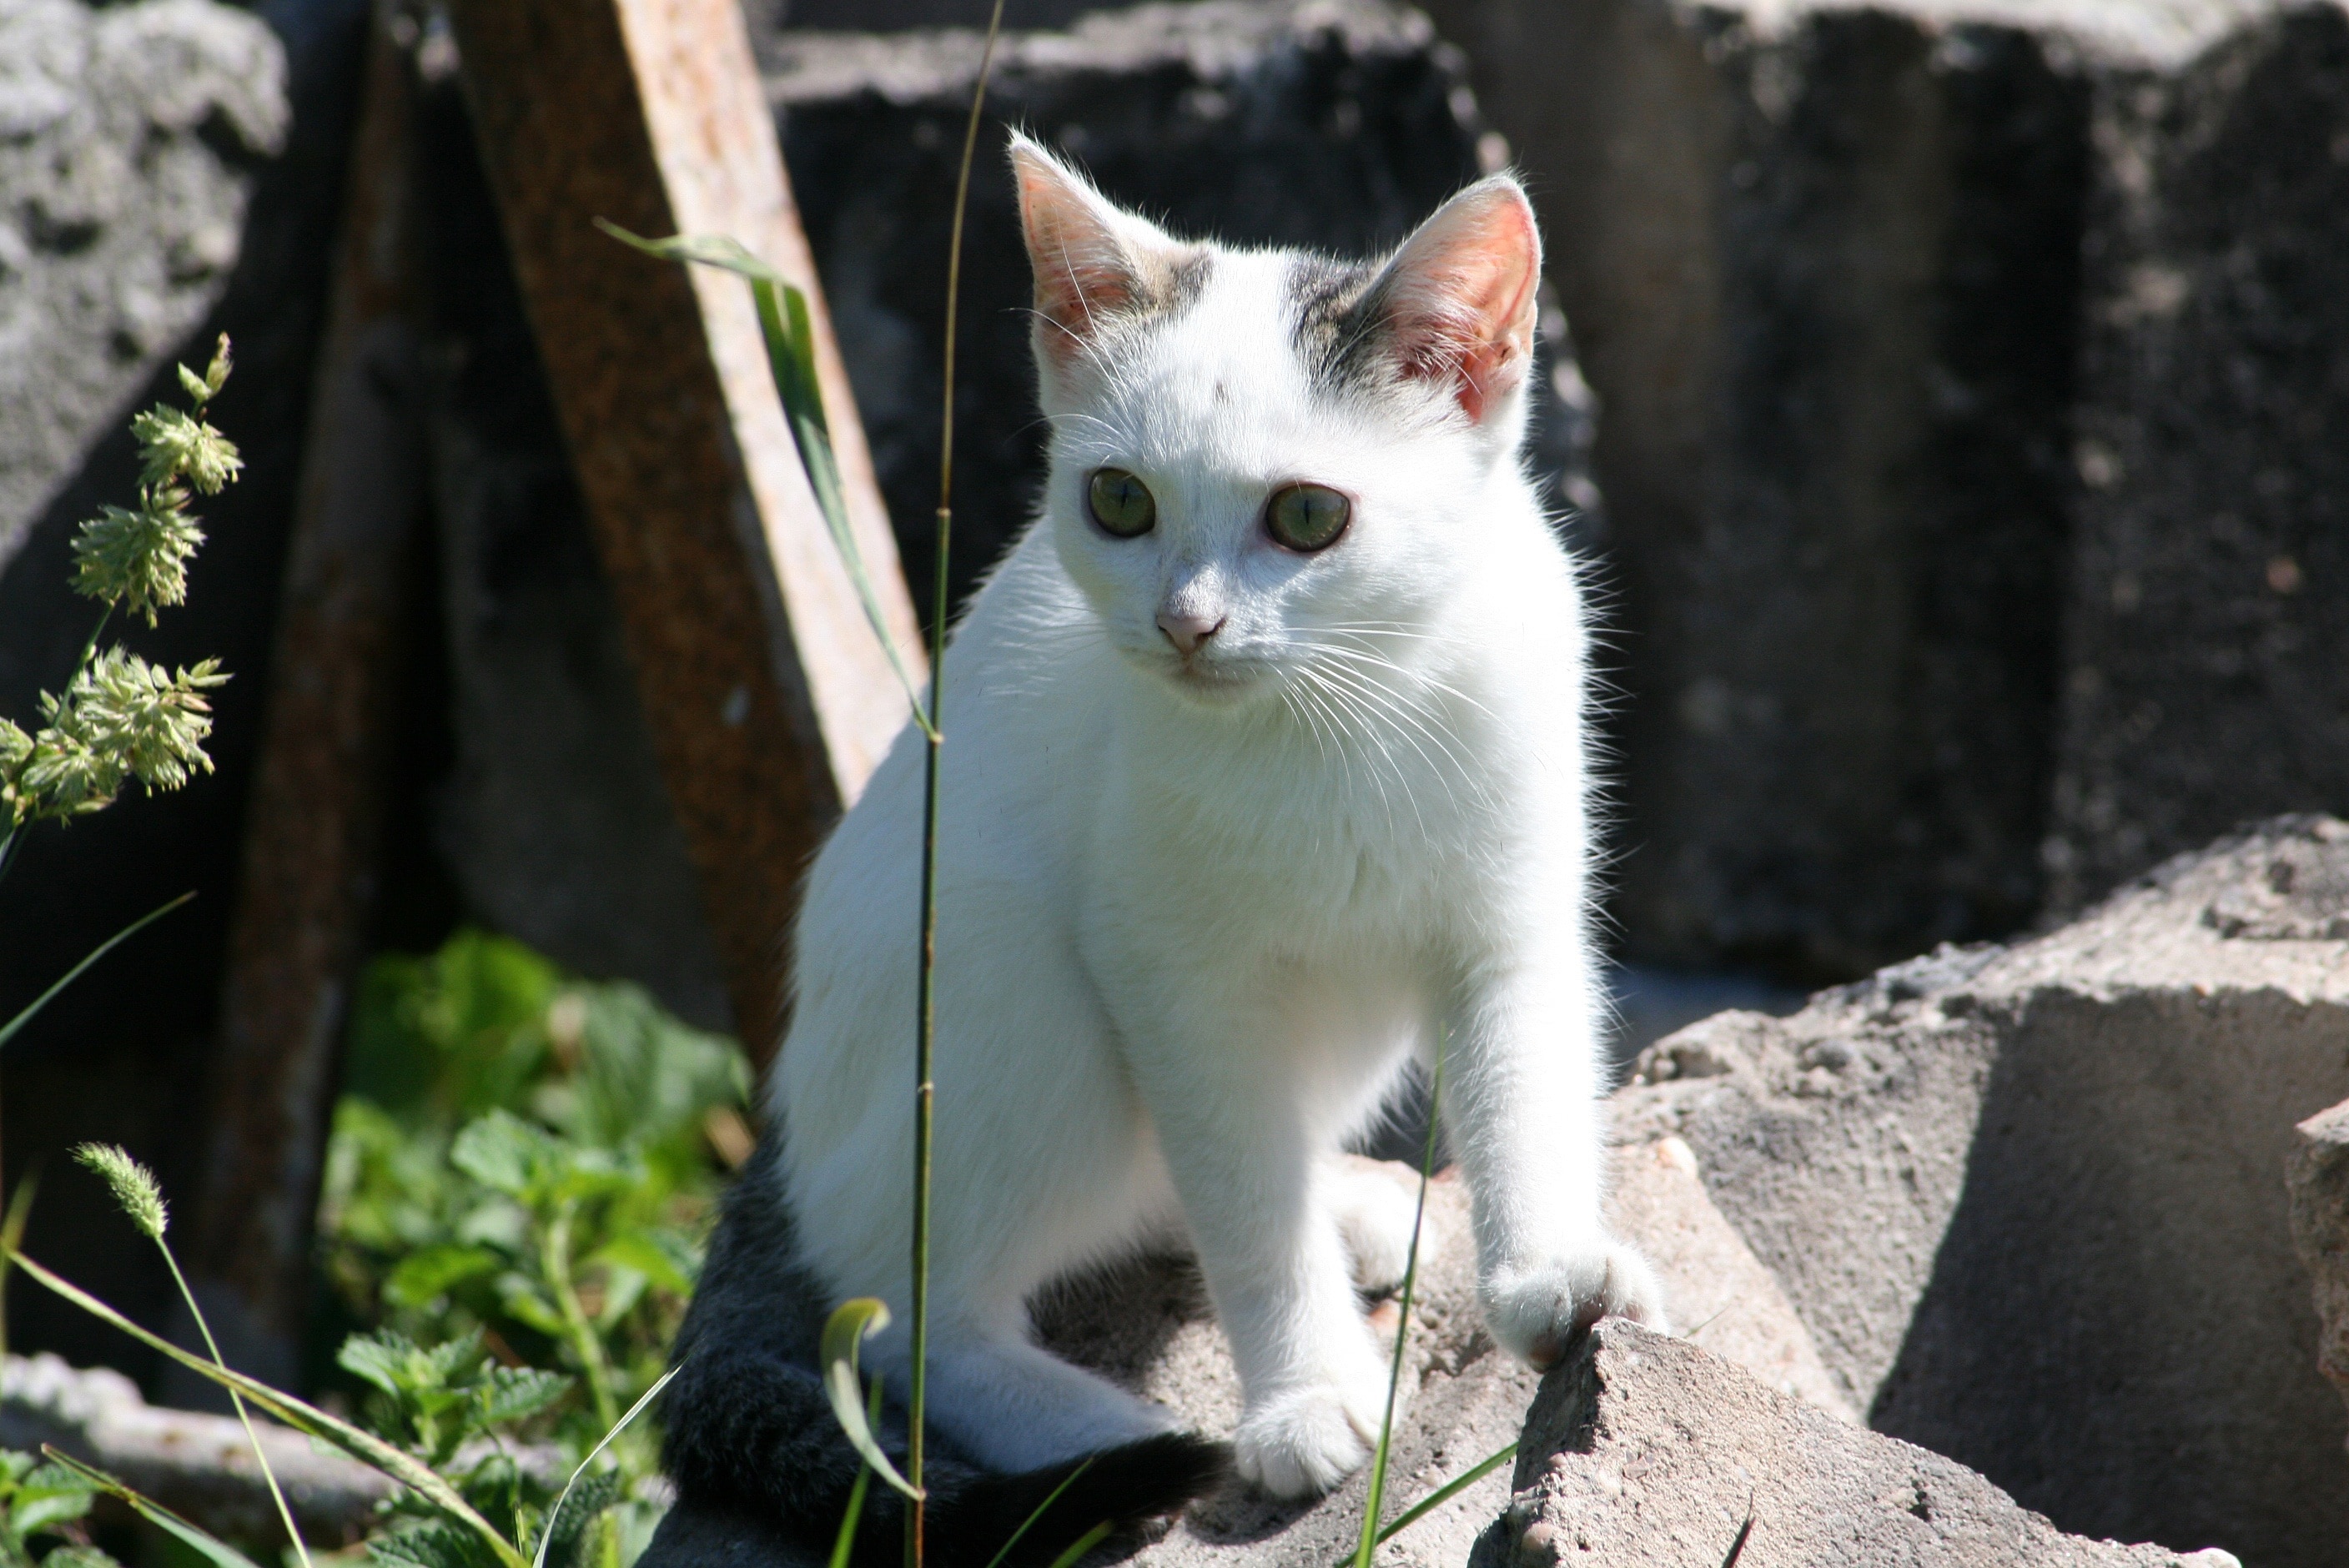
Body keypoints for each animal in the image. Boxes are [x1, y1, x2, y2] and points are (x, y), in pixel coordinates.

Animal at [770, 140, 1653, 1502]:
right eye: (1119, 501)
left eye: (1307, 517)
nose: (1185, 623)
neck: (1335, 716)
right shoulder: (1162, 971)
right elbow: (1243, 1201)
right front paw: (1309, 1399)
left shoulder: (1513, 910)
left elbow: (1522, 1079)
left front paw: (1551, 1274)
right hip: (1004, 994)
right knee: (899, 1318)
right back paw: (1096, 1433)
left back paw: (1347, 1202)